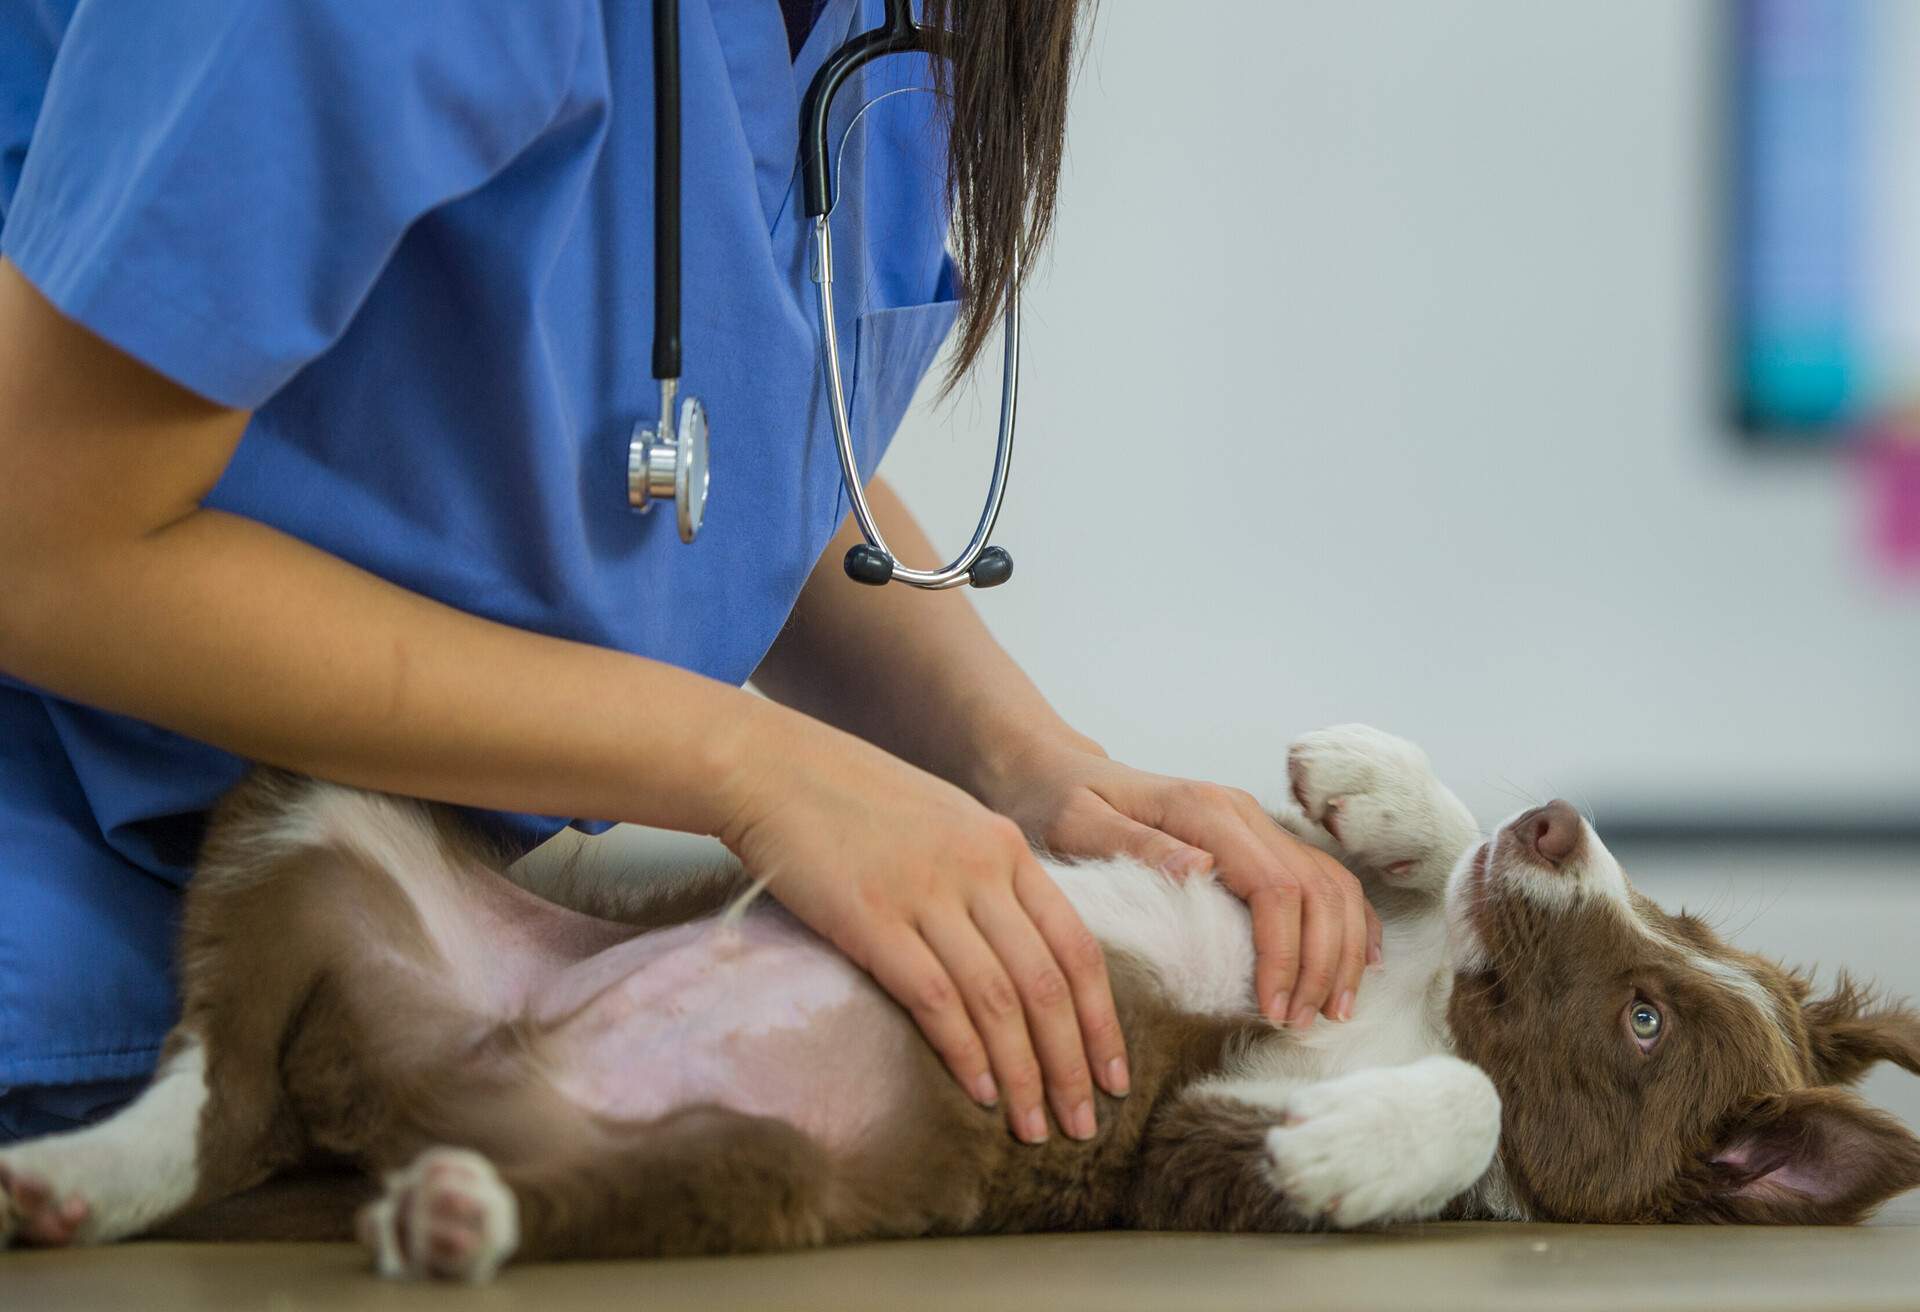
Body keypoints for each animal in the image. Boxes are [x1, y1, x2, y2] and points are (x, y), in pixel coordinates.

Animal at [3, 722, 1920, 1275]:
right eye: (1669, 924)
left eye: (1649, 1022)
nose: (1562, 819)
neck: (1420, 1000)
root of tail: (404, 1096)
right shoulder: (1331, 926)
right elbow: (1391, 864)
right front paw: (1373, 778)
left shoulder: (1178, 1153)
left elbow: (1457, 1110)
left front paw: (1349, 1156)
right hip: (326, 811)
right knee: (209, 1084)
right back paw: (71, 1175)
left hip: (734, 1168)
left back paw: (453, 1217)